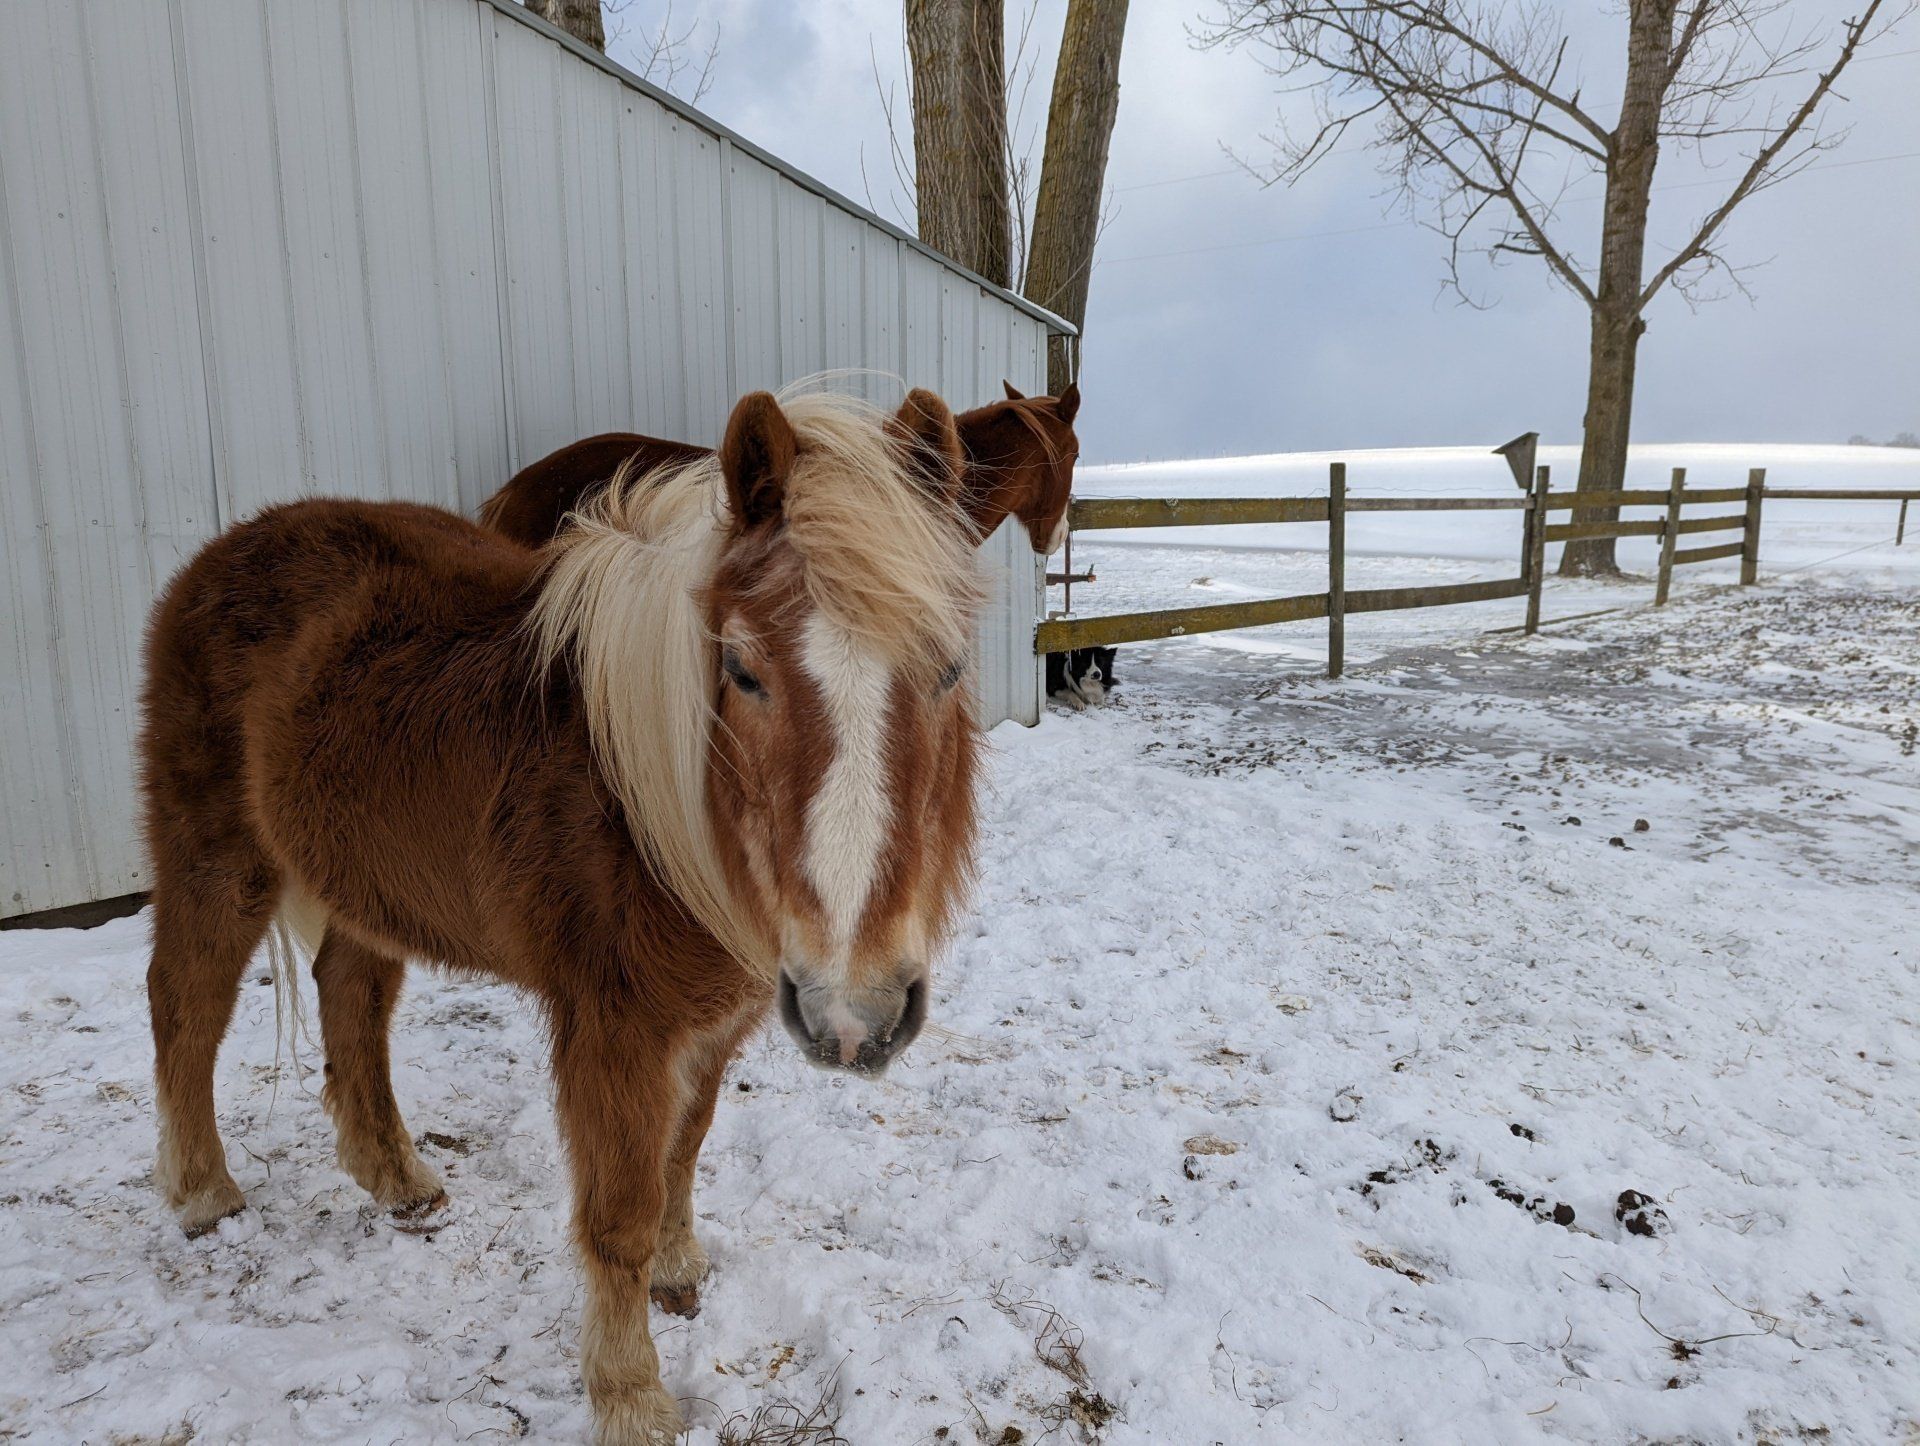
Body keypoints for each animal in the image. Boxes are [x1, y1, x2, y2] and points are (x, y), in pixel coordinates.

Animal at [138, 386, 984, 1445]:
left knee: (350, 996)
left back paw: (395, 1177)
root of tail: (224, 552)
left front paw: (679, 1271)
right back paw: (203, 1194)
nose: (857, 1014)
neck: (651, 802)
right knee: (186, 1007)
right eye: (743, 671)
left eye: (947, 668)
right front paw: (630, 1396)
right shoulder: (613, 1028)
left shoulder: (717, 1021)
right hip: (216, 859)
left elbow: (685, 1150)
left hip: (367, 878)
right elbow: (619, 1209)